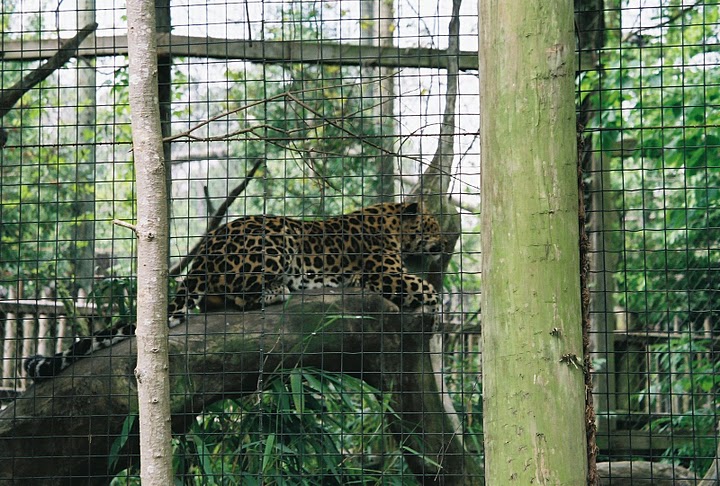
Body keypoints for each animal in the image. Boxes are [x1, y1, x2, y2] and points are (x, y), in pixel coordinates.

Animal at [24, 201, 444, 380]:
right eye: (433, 224)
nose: (442, 244)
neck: (390, 221)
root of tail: (205, 251)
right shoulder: (386, 274)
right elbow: (428, 290)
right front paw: (438, 309)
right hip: (275, 242)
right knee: (238, 294)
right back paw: (276, 292)